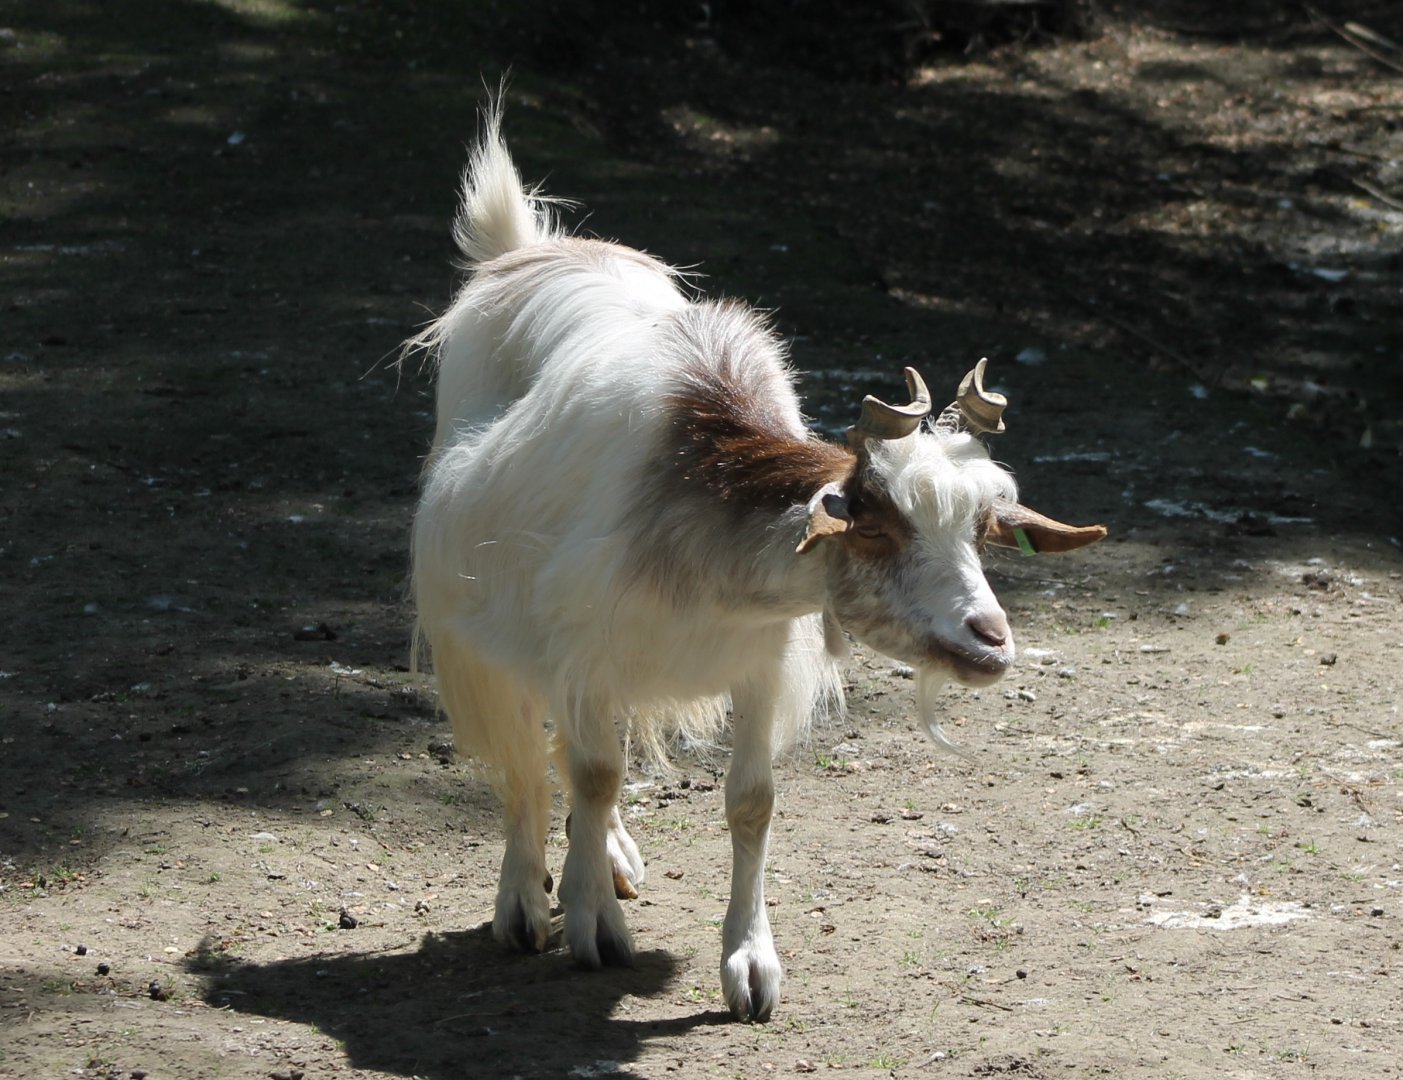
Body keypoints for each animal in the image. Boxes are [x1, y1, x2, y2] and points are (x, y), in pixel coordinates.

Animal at [406, 108, 1106, 1021]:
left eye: (984, 529)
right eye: (873, 528)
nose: (988, 638)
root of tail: (526, 251)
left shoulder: (760, 662)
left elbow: (747, 802)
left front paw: (749, 963)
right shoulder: (581, 652)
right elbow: (589, 773)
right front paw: (593, 926)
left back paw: (614, 857)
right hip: (486, 631)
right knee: (525, 759)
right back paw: (524, 899)